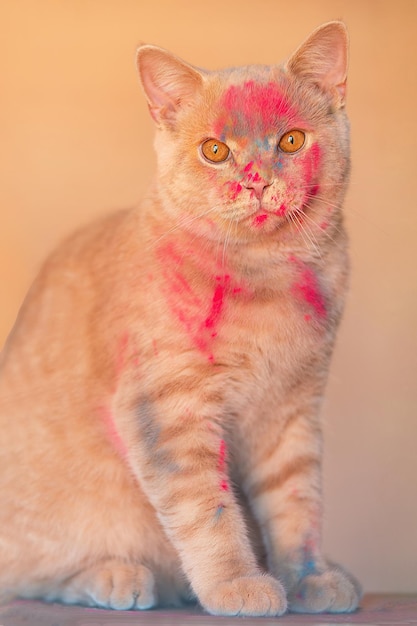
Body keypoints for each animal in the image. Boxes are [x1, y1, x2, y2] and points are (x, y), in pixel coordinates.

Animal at [0, 20, 360, 616]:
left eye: (290, 140)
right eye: (214, 150)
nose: (256, 179)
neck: (268, 276)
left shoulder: (292, 411)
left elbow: (296, 501)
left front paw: (310, 577)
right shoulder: (168, 409)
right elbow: (208, 510)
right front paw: (236, 584)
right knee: (29, 576)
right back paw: (116, 576)